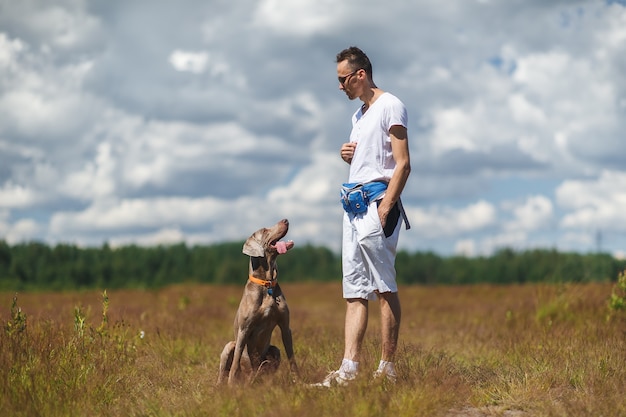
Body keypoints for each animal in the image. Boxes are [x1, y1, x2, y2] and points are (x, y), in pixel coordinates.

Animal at [217, 219, 298, 386]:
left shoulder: (285, 326)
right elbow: (236, 362)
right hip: (229, 346)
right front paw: (231, 385)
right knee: (224, 372)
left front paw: (298, 381)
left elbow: (292, 358)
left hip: (274, 350)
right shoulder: (244, 330)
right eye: (265, 230)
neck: (266, 284)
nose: (286, 220)